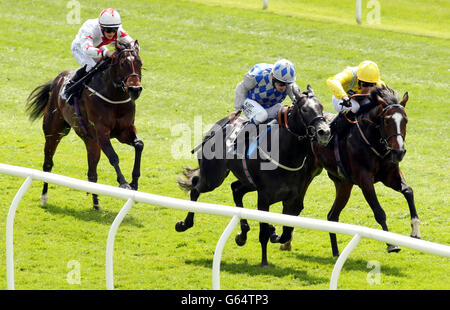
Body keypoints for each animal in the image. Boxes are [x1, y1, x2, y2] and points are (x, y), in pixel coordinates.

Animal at [25, 41, 144, 209]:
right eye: (123, 64)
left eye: (140, 63)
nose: (135, 89)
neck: (114, 97)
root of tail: (58, 80)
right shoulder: (101, 133)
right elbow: (113, 157)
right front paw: (124, 183)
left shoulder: (124, 131)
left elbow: (139, 145)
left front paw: (134, 182)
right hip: (54, 132)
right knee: (48, 164)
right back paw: (44, 196)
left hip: (90, 142)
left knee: (92, 174)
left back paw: (96, 205)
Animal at [176, 85, 330, 266]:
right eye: (305, 109)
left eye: (321, 107)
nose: (324, 132)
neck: (286, 154)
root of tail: (218, 125)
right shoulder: (264, 197)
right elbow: (263, 233)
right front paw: (264, 260)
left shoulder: (291, 198)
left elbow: (285, 231)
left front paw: (273, 232)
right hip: (213, 177)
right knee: (195, 187)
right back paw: (184, 224)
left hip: (247, 182)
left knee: (235, 189)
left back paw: (242, 234)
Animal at [306, 86, 422, 256]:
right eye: (387, 120)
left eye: (405, 120)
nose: (399, 152)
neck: (375, 142)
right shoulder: (364, 179)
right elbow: (379, 212)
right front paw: (391, 244)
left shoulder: (390, 175)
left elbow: (408, 191)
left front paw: (415, 230)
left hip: (344, 185)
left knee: (332, 216)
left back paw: (336, 252)